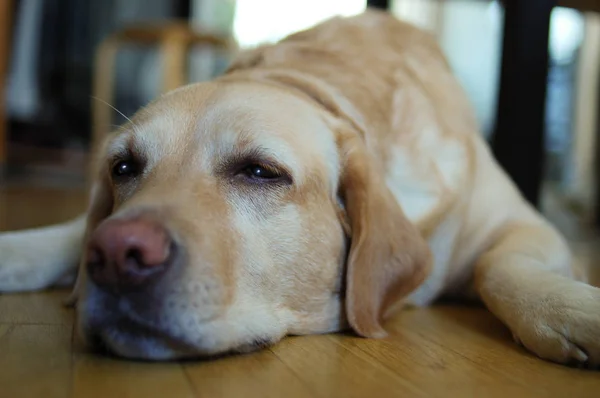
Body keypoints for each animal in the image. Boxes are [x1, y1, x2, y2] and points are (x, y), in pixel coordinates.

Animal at [1, 9, 600, 366]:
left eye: (261, 172)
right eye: (124, 167)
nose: (115, 253)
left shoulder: (526, 224)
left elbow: (494, 265)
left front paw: (573, 312)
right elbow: (55, 238)